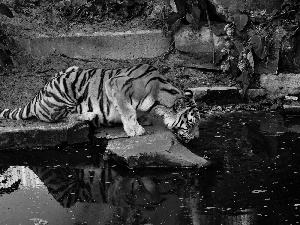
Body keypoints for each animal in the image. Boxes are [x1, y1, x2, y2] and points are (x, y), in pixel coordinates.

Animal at [0, 63, 202, 142]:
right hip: (65, 89)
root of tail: (37, 96)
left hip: (70, 69)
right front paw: (135, 130)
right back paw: (89, 115)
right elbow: (128, 111)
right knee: (63, 117)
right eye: (190, 124)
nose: (197, 138)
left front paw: (143, 120)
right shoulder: (116, 85)